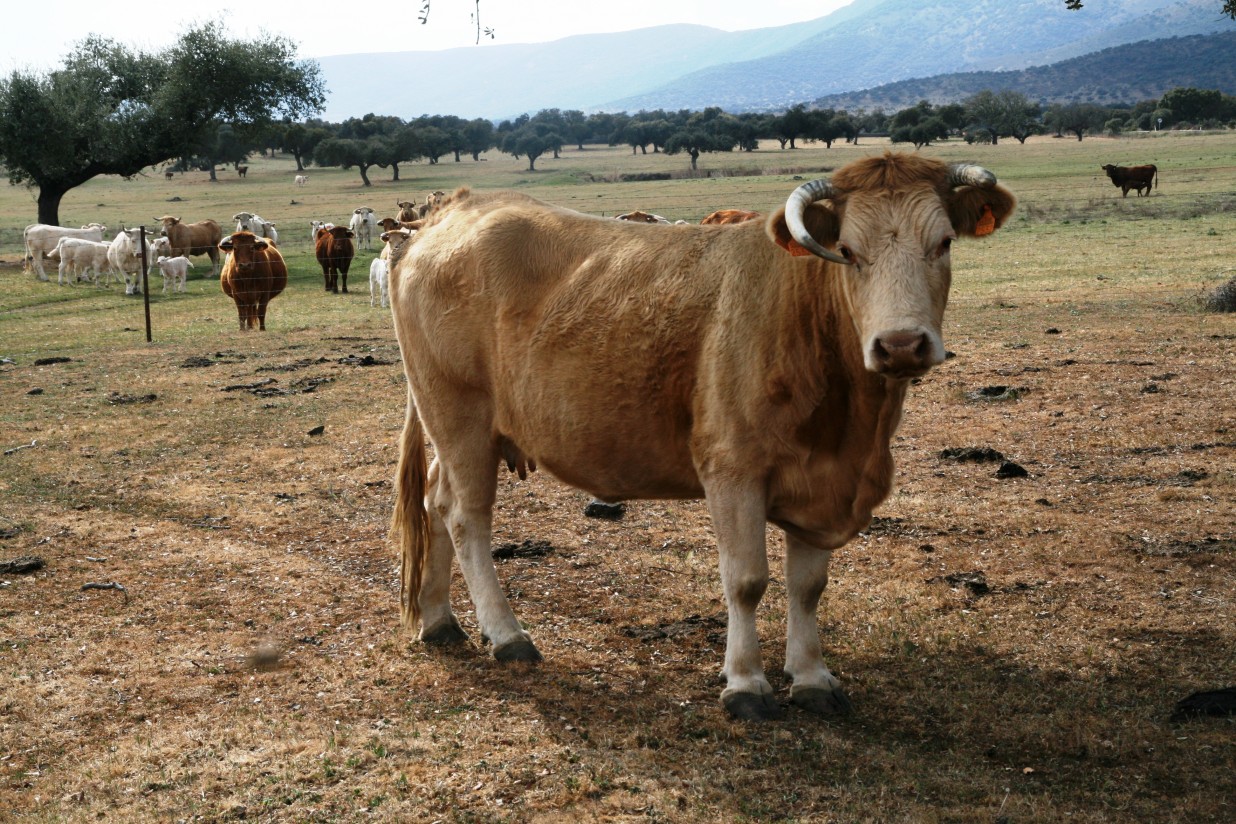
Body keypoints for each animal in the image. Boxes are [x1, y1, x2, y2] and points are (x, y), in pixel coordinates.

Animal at [390, 154, 1018, 721]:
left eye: (943, 243)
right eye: (847, 251)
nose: (901, 344)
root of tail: (452, 211)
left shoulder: (822, 485)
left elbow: (807, 586)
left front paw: (812, 677)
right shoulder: (733, 470)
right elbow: (746, 580)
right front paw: (746, 684)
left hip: (454, 429)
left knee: (434, 501)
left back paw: (438, 620)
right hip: (460, 417)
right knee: (466, 517)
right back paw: (507, 634)